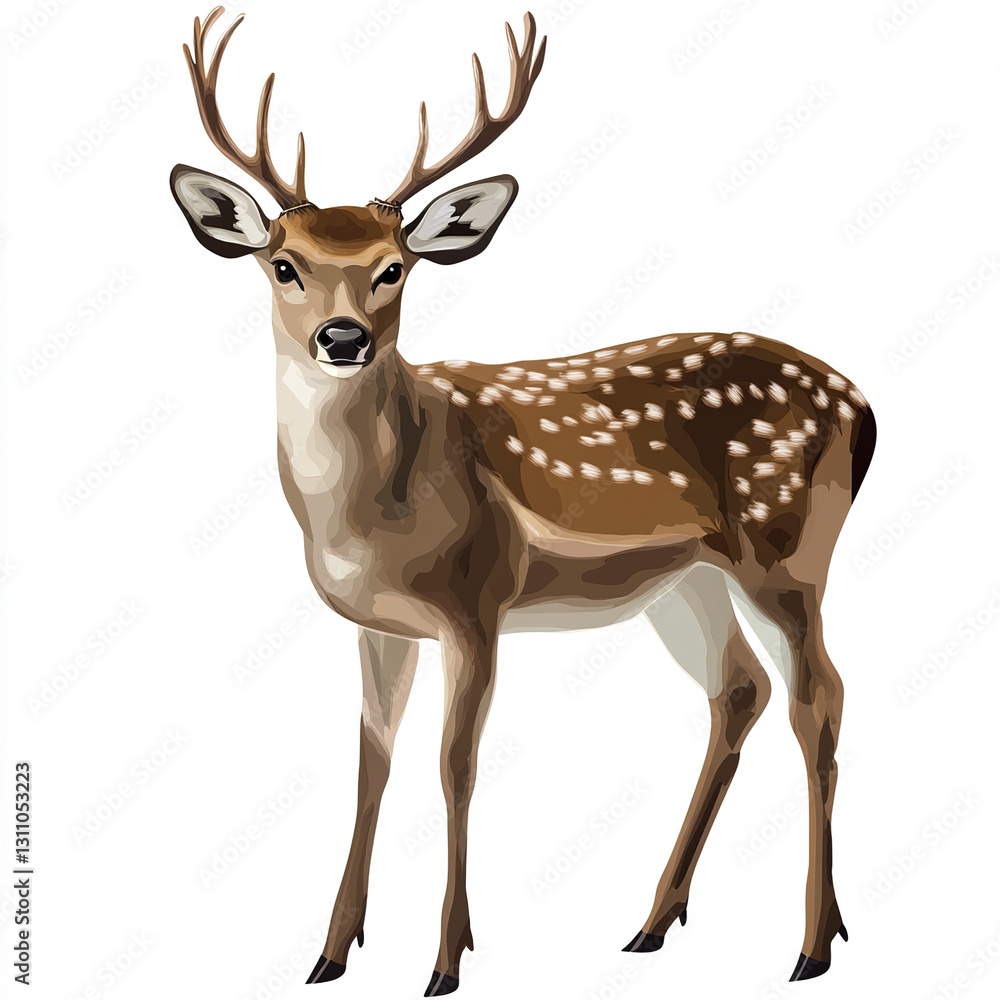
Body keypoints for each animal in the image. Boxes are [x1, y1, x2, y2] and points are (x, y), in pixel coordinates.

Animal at [170, 7, 876, 995]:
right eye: (283, 263)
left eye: (394, 268)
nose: (342, 338)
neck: (371, 515)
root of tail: (863, 406)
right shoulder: (380, 623)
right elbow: (371, 762)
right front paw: (330, 951)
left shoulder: (477, 598)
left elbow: (455, 766)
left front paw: (446, 960)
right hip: (687, 579)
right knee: (740, 688)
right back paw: (652, 924)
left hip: (787, 546)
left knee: (822, 695)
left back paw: (813, 943)